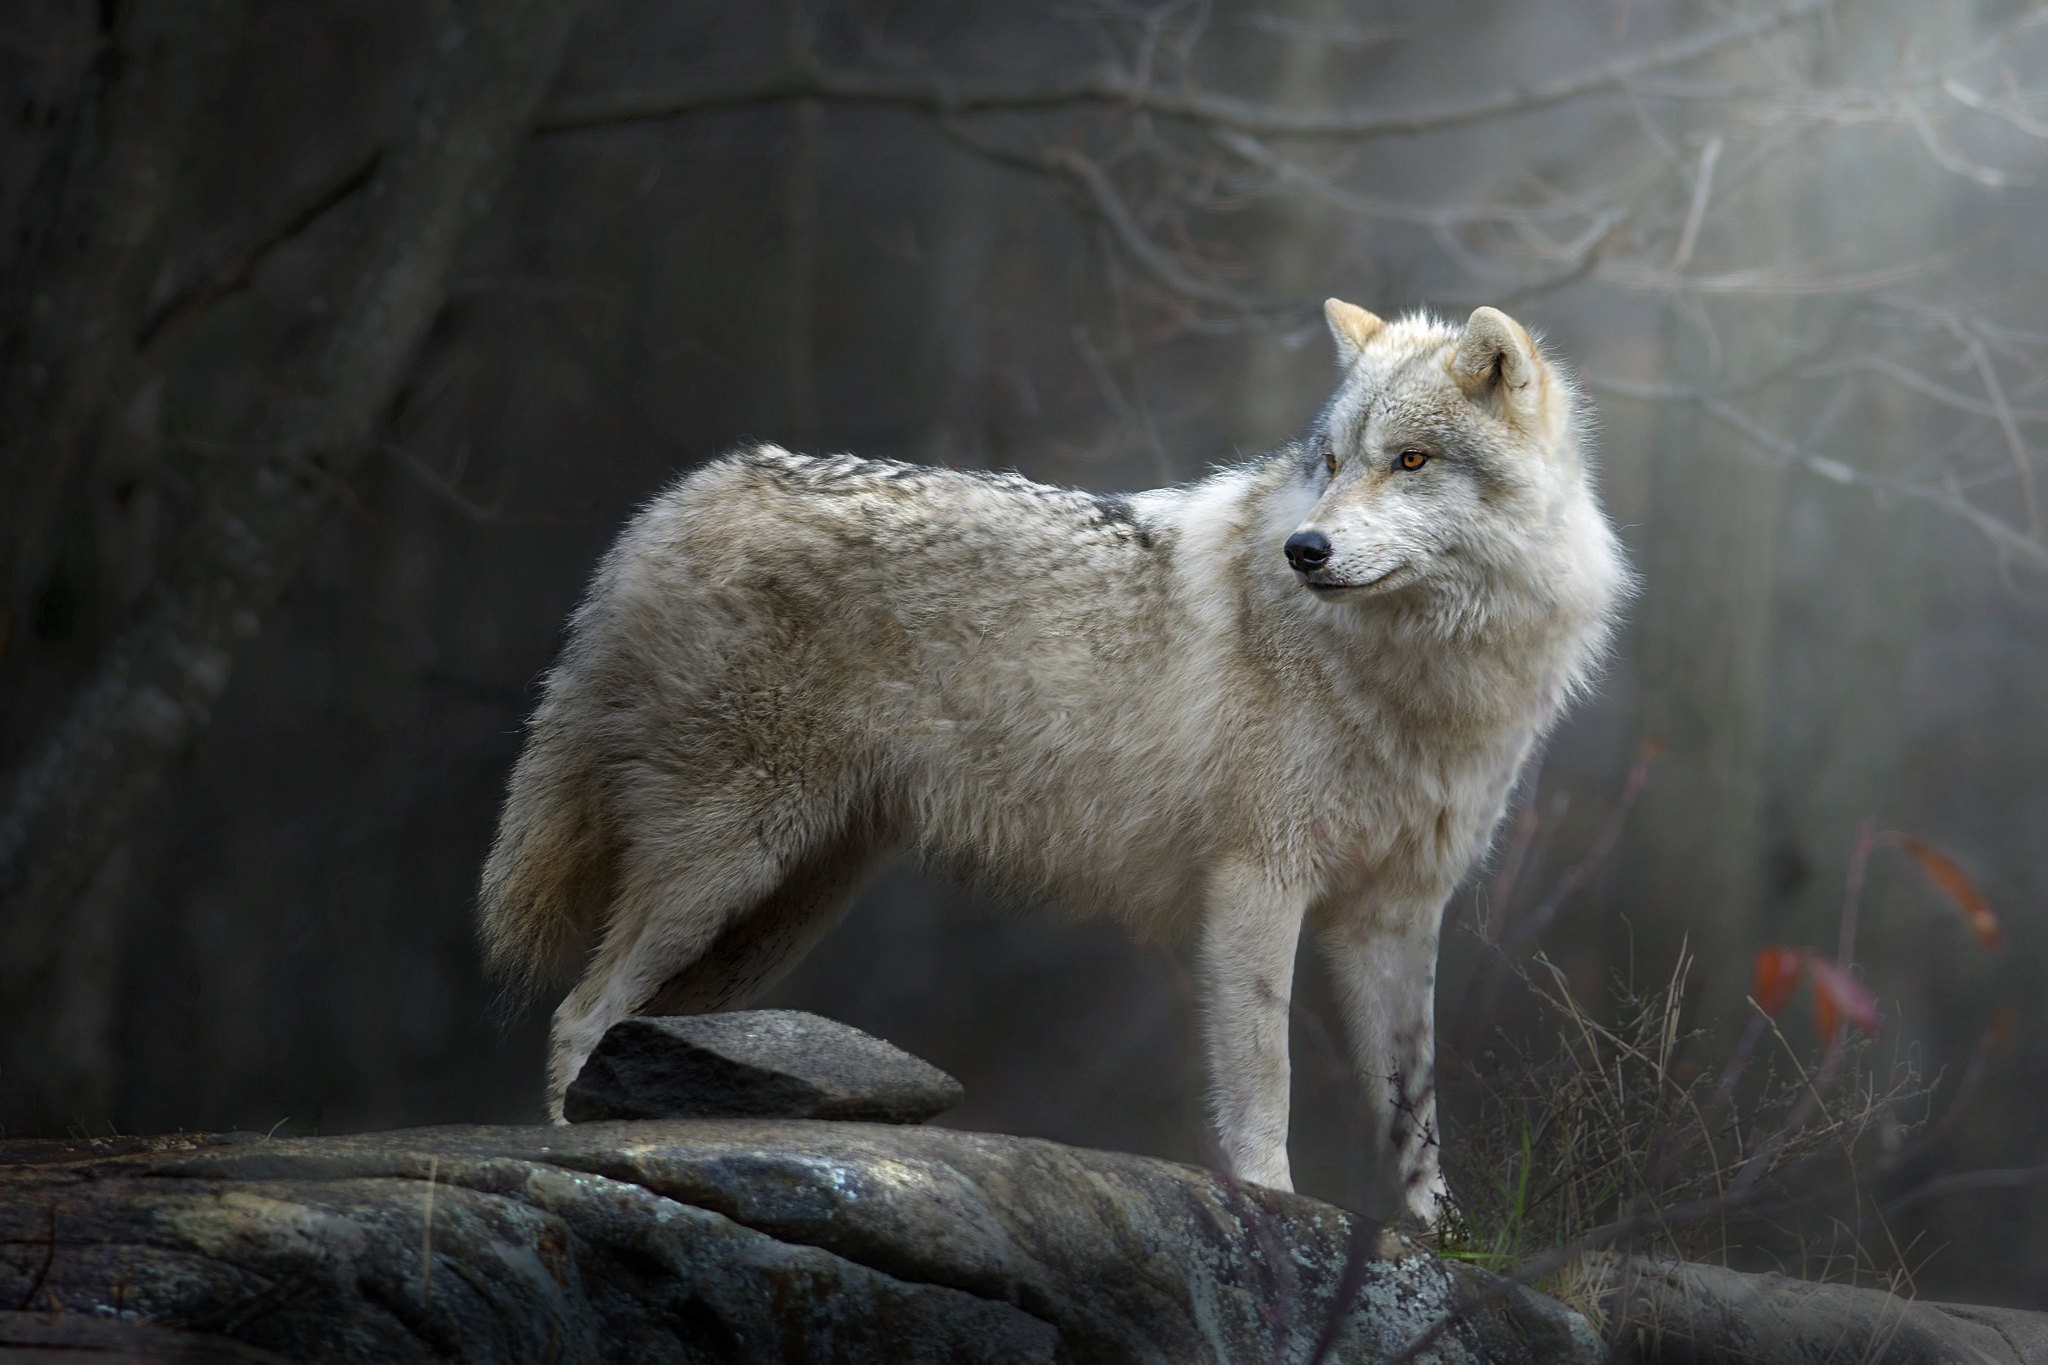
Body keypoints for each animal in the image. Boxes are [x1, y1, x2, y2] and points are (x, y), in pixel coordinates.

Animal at [478, 299, 1626, 1224]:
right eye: (1335, 462)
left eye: (1410, 461)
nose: (1304, 550)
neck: (1422, 673)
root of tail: (680, 500)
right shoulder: (1257, 883)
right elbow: (1266, 1075)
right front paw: (1273, 1205)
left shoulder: (1397, 915)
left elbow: (1414, 1110)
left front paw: (1443, 1241)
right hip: (725, 869)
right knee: (581, 1012)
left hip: (771, 917)